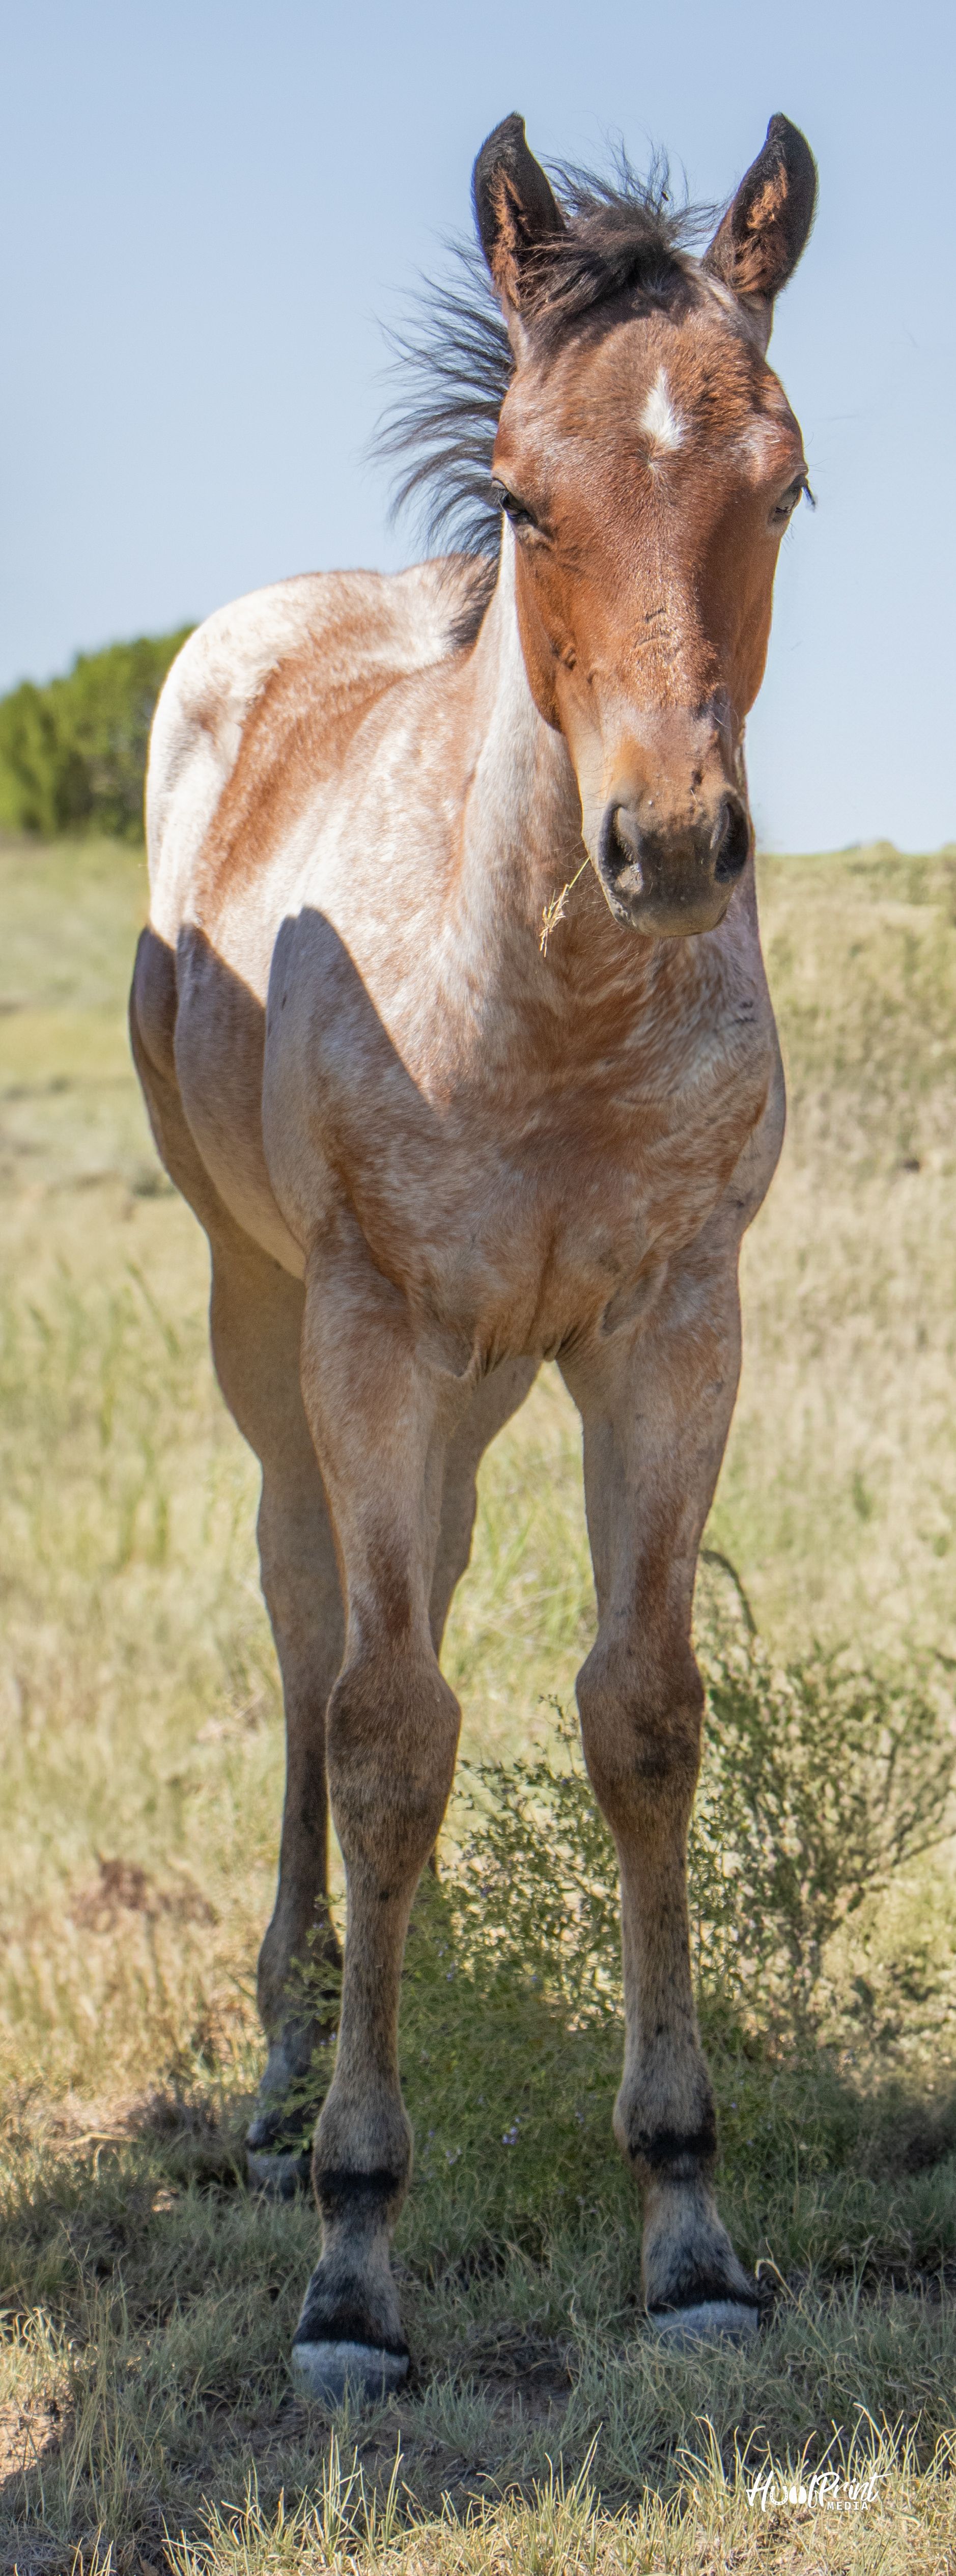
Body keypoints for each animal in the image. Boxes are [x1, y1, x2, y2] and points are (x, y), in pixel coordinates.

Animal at [130, 108, 817, 2399]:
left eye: (781, 479)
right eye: (523, 497)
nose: (670, 844)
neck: (537, 1006)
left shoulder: (669, 1324)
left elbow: (638, 1708)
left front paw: (687, 2229)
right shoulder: (369, 1327)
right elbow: (380, 1728)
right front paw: (354, 2255)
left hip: (489, 1367)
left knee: (385, 1610)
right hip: (275, 1325)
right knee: (310, 1624)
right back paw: (279, 2078)